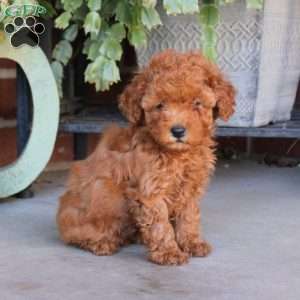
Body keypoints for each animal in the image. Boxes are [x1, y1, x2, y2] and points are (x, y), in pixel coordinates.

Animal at [56, 49, 234, 264]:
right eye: (160, 105)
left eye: (197, 103)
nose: (178, 131)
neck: (178, 154)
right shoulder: (151, 190)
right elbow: (160, 223)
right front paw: (169, 252)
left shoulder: (190, 187)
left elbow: (189, 216)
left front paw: (192, 243)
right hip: (100, 192)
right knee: (78, 234)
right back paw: (102, 242)